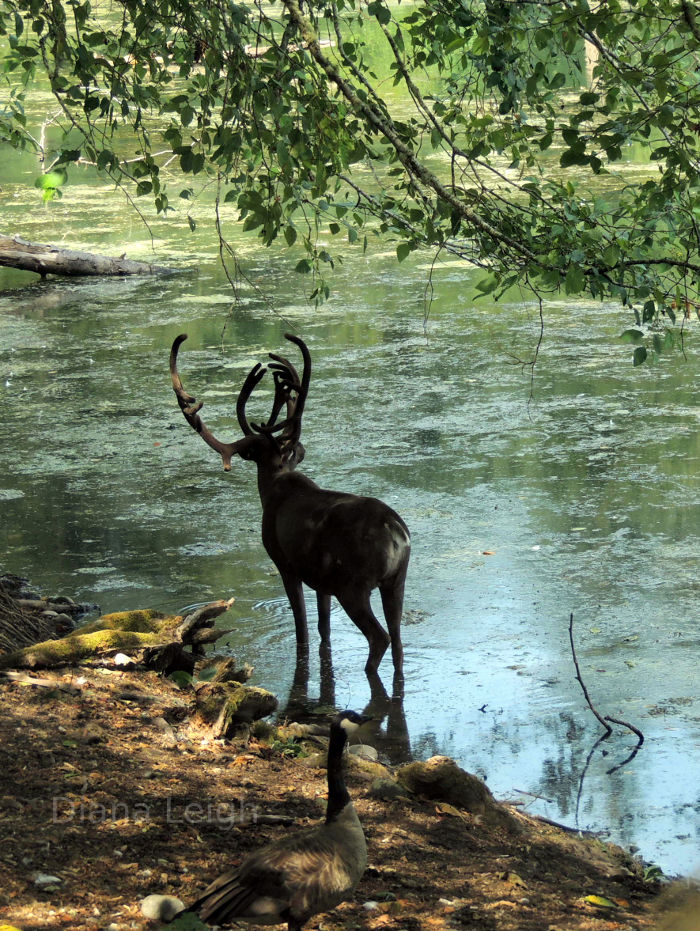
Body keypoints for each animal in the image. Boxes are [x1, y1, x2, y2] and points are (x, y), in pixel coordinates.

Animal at [170, 334, 410, 676]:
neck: (274, 486)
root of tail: (396, 533)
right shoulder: (323, 582)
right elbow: (324, 628)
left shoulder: (285, 562)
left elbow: (303, 630)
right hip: (396, 579)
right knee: (399, 639)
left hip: (354, 584)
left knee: (380, 637)